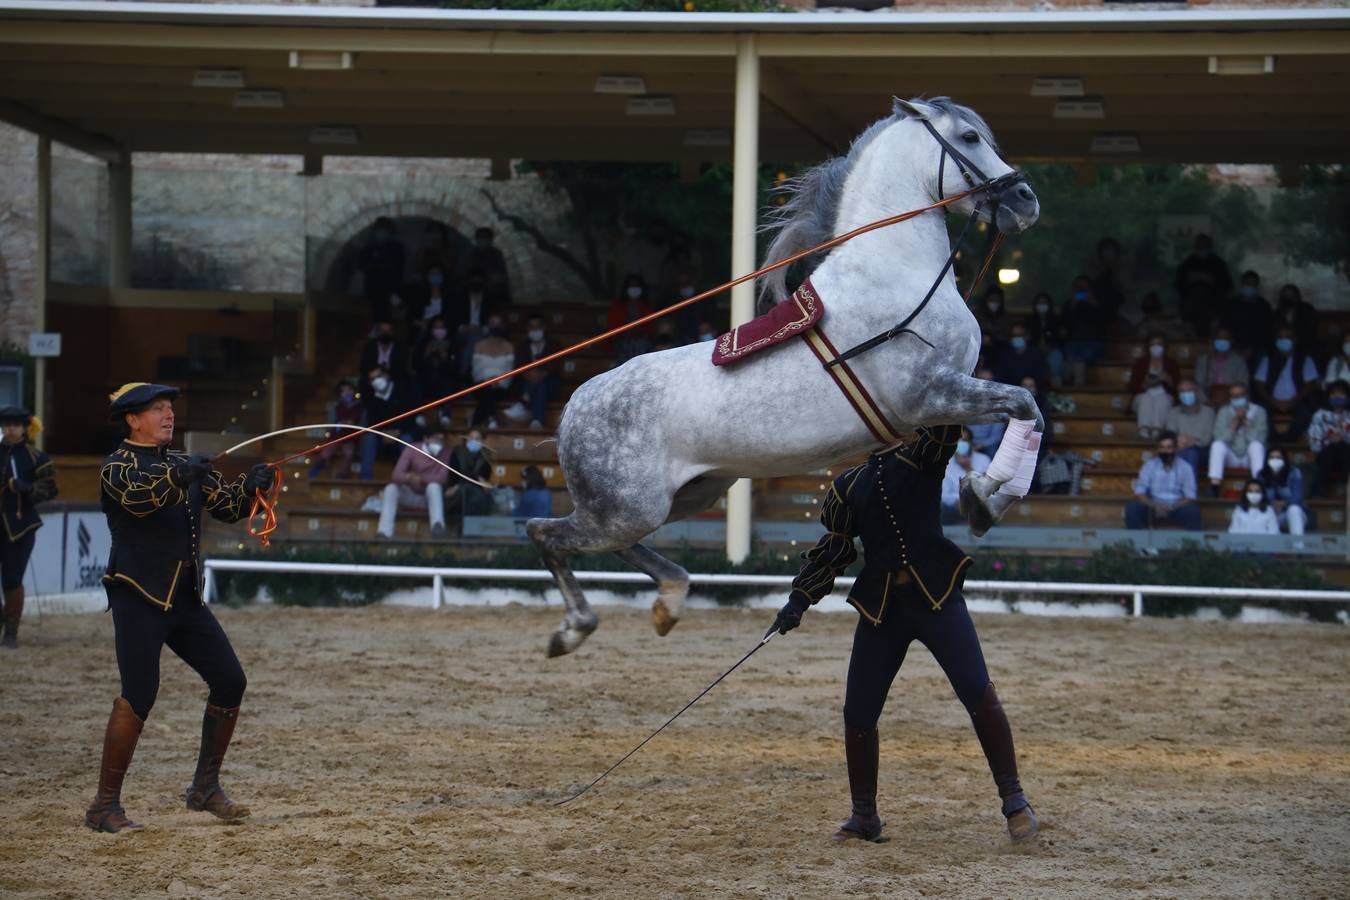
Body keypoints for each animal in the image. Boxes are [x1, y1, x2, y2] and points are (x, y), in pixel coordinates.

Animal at [526, 98, 1042, 658]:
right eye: (970, 137)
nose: (1025, 200)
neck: (895, 273)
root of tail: (573, 407)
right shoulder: (930, 396)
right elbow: (1026, 404)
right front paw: (983, 499)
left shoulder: (943, 401)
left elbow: (1028, 411)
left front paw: (984, 498)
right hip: (626, 509)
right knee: (543, 532)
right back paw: (573, 629)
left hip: (688, 495)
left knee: (611, 544)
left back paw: (670, 601)